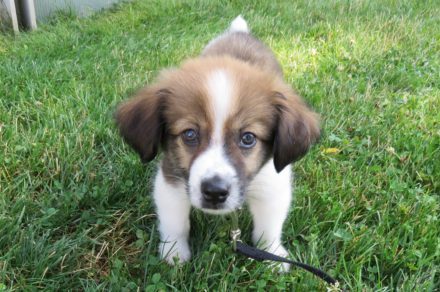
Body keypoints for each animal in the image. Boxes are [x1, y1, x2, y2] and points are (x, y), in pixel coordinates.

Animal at [115, 15, 318, 266]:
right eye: (189, 134)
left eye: (248, 138)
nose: (214, 192)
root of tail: (239, 33)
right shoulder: (172, 177)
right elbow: (175, 222)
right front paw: (174, 252)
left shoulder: (271, 181)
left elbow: (268, 227)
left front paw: (272, 255)